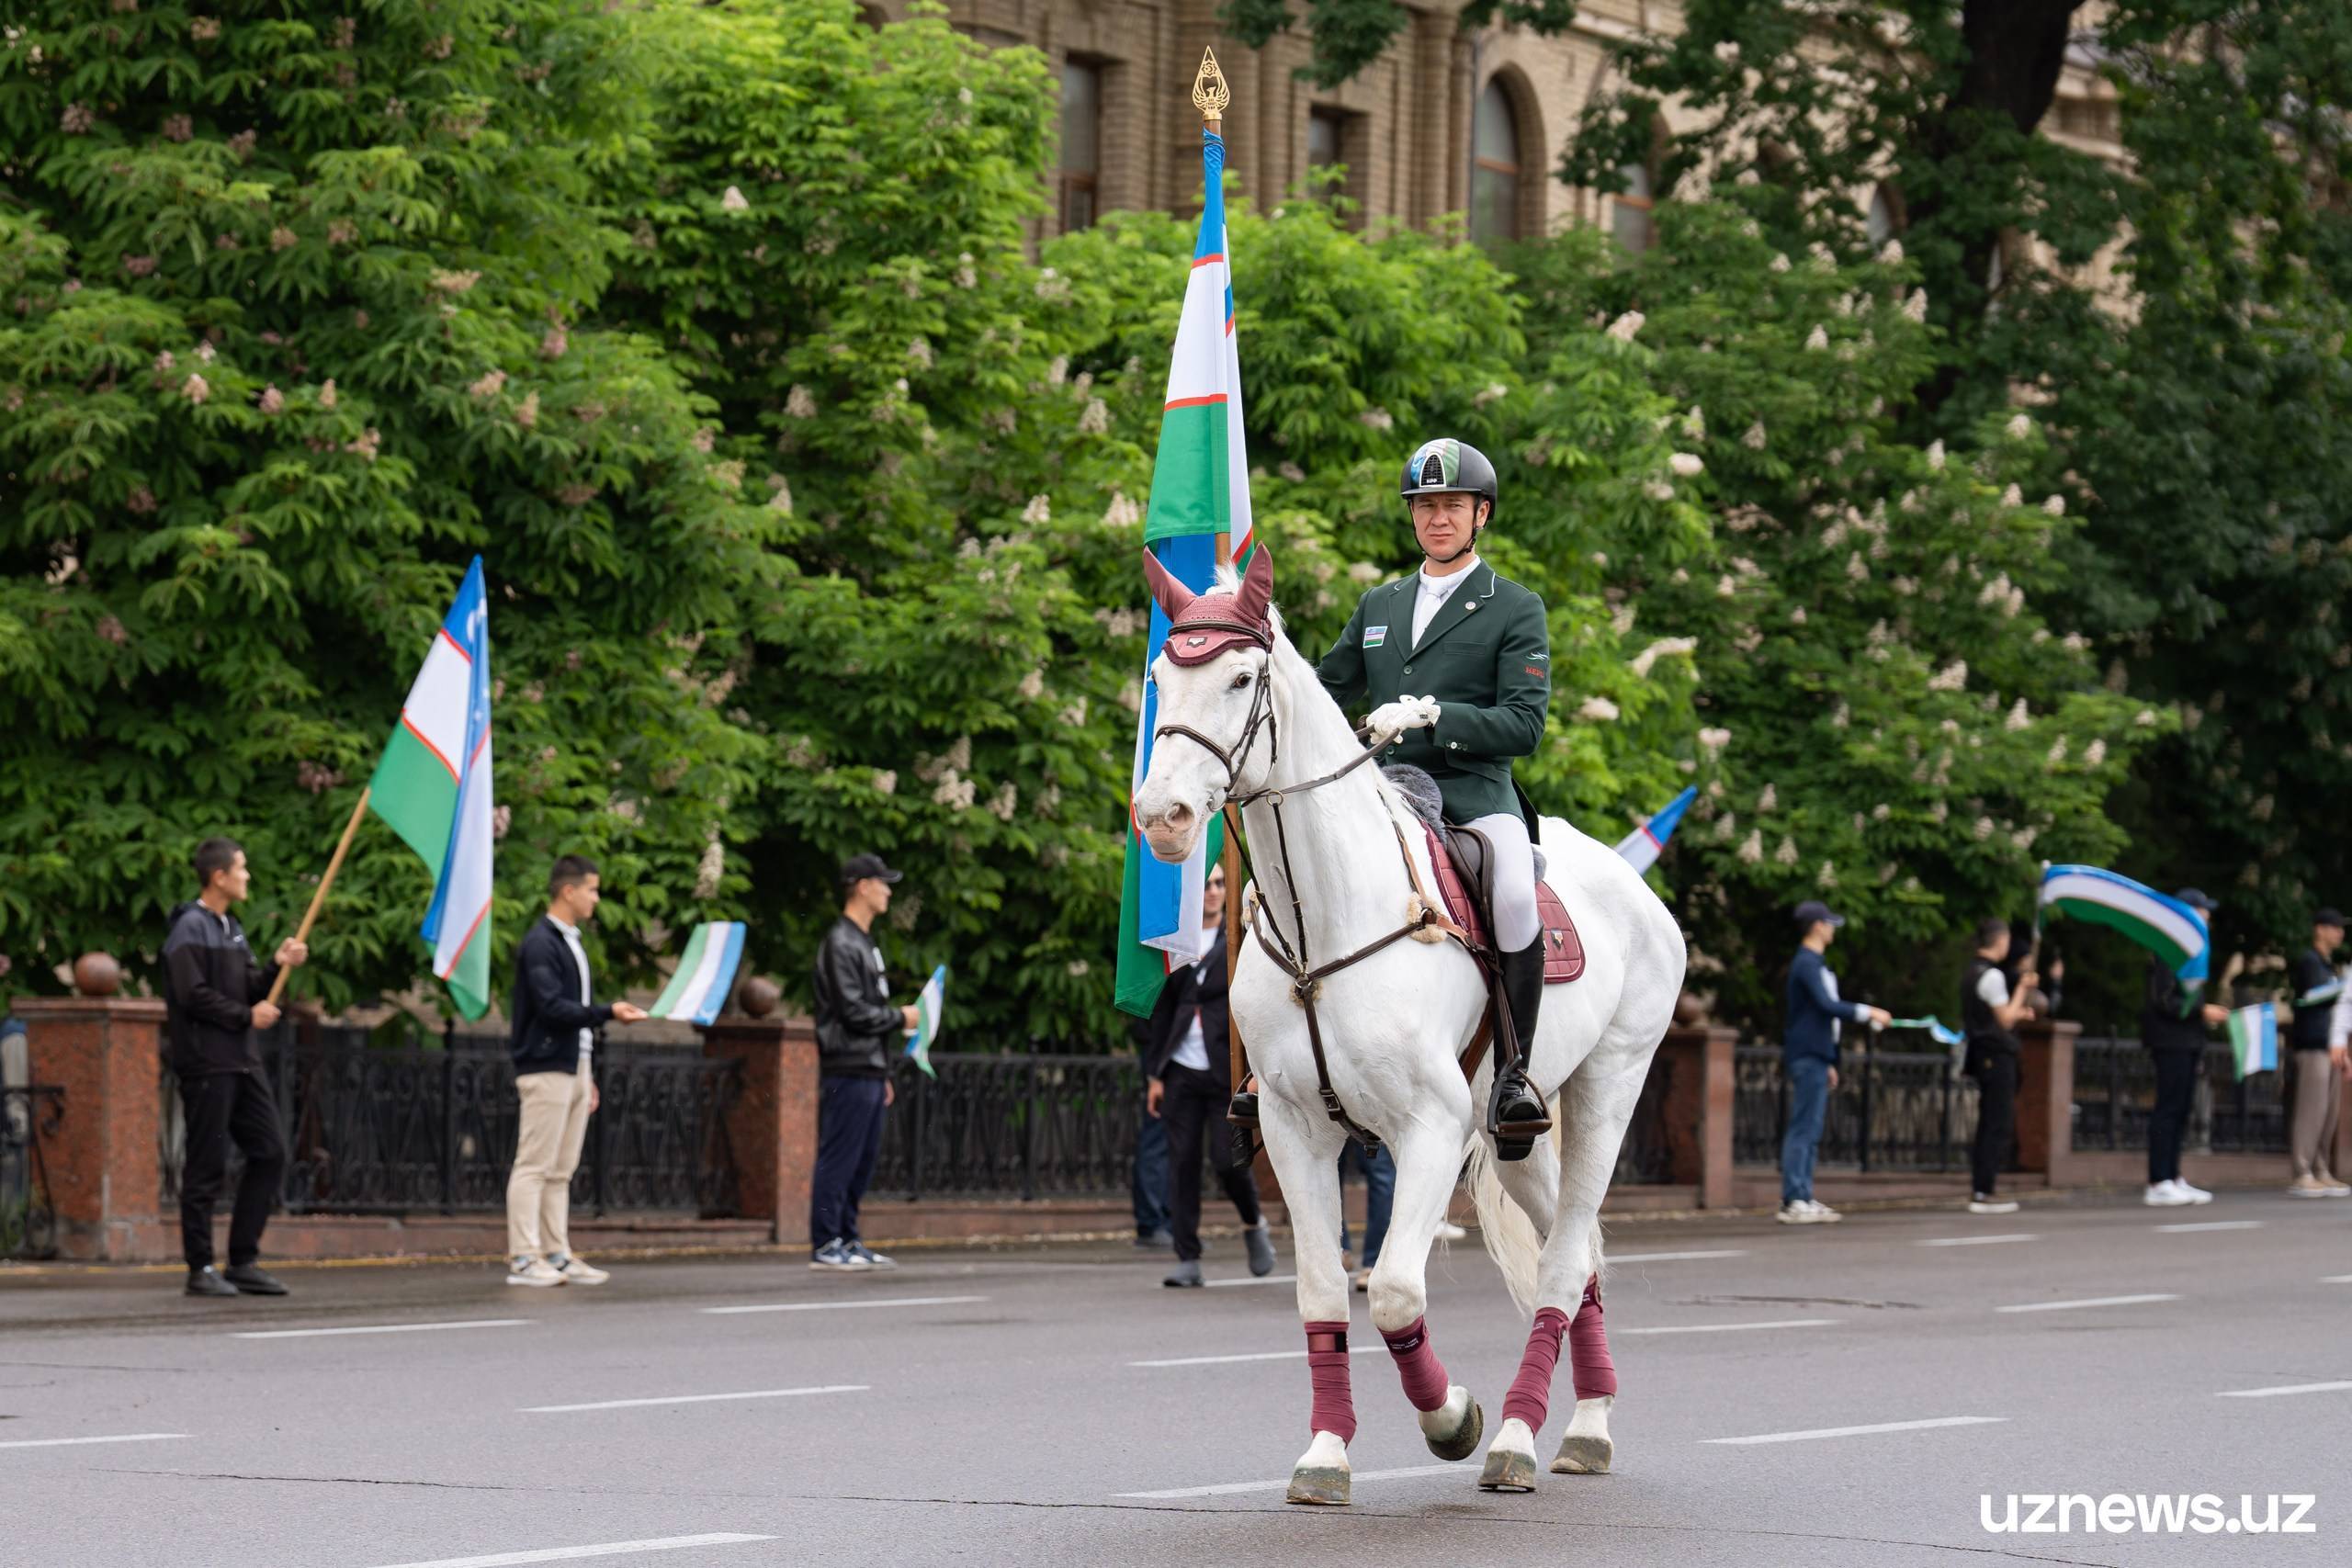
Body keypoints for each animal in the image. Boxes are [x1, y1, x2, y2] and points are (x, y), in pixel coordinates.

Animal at [1128, 545, 1683, 1504]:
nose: (1163, 816)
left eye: (1239, 677)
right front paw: (1325, 1453)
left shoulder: (1432, 1126)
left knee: (1565, 1259)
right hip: (1518, 1137)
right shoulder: (1295, 1130)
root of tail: (1633, 884)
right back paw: (1579, 1426)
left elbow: (1391, 1288)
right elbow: (1323, 1291)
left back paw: (1522, 1437)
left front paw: (1450, 1417)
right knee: (1574, 1259)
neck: (1325, 919)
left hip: (1607, 1089)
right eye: (1162, 676)